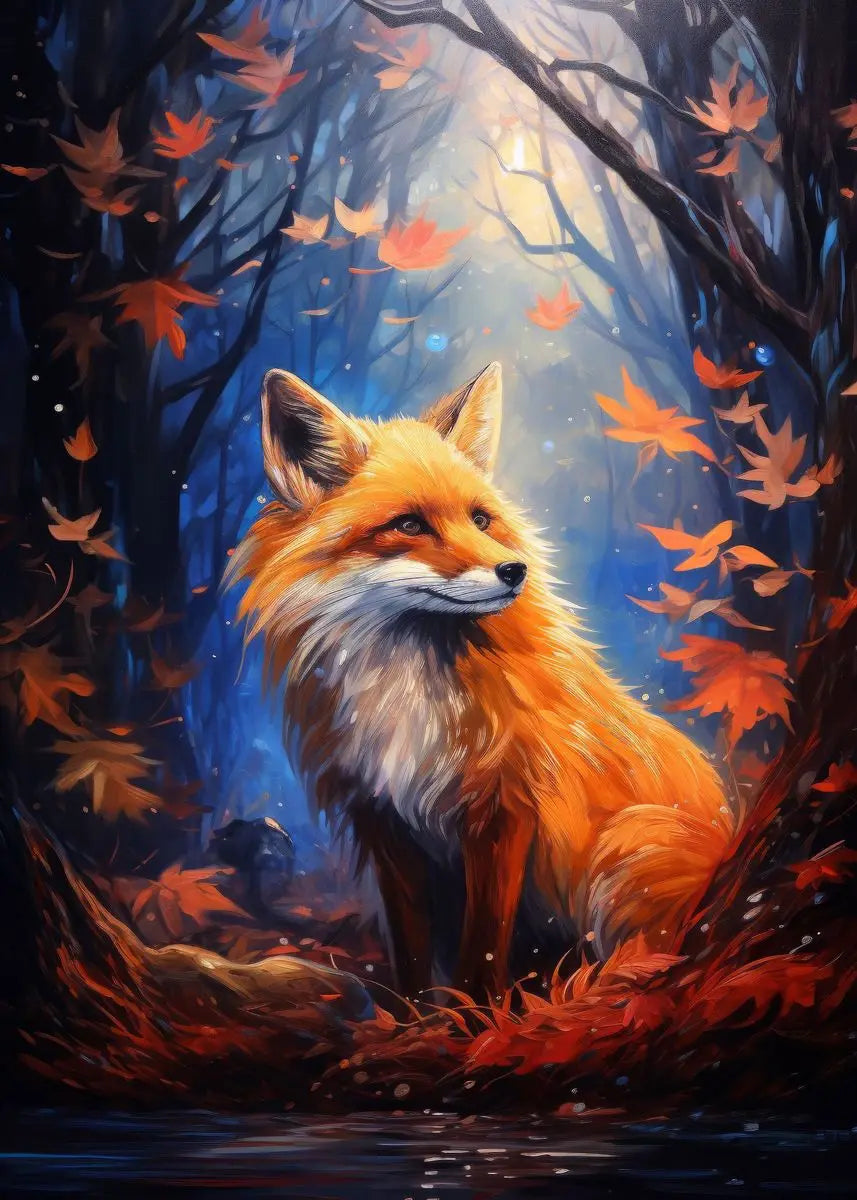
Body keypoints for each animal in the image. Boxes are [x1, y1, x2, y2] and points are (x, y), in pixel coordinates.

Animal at [228, 362, 734, 1000]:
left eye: (479, 518)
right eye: (410, 524)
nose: (514, 570)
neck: (408, 693)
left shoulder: (505, 807)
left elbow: (484, 947)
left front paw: (474, 1015)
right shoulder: (383, 816)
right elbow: (411, 946)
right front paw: (416, 1015)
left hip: (631, 843)